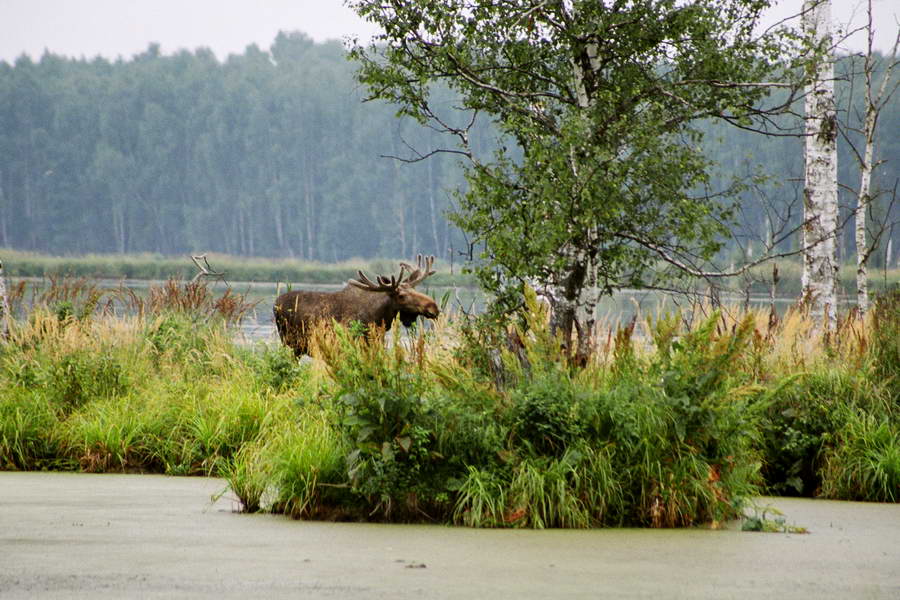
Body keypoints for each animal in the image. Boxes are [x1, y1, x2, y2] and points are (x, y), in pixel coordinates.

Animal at [276, 254, 442, 356]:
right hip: (290, 345)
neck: (378, 317)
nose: (434, 307)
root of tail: (275, 304)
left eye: (414, 289)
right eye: (401, 296)